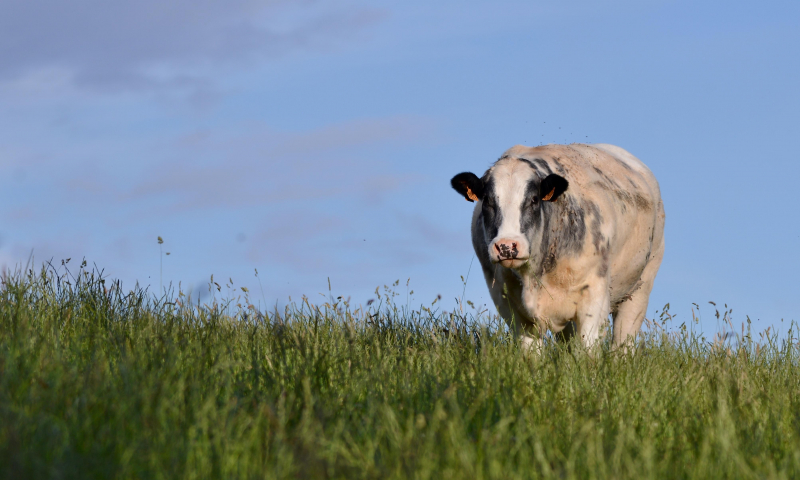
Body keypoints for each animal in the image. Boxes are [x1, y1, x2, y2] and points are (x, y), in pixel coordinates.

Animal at [454, 144, 664, 350]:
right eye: (488, 201)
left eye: (534, 199)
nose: (507, 246)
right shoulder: (506, 301)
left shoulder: (595, 296)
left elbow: (588, 348)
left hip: (640, 287)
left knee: (623, 342)